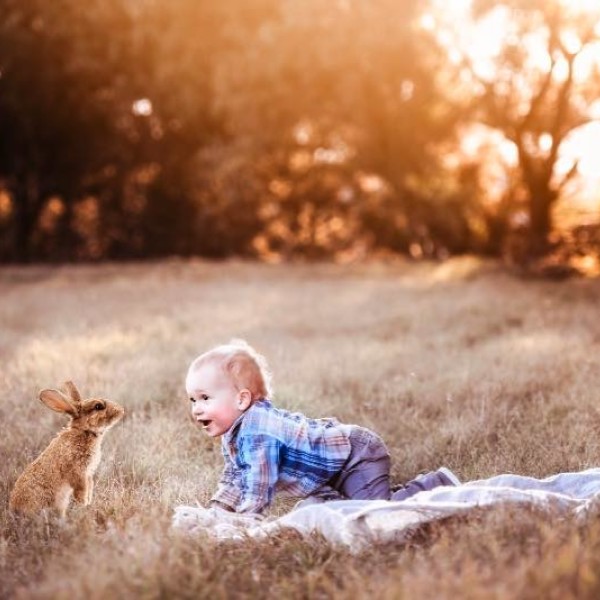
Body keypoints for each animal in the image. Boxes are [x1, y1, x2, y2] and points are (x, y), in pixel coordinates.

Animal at [9, 380, 124, 516]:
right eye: (98, 406)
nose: (121, 410)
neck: (84, 431)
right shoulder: (79, 473)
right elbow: (81, 491)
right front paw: (83, 506)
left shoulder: (88, 474)